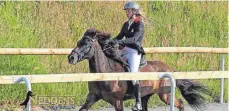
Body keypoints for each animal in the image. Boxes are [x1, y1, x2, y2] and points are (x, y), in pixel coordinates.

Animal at [67, 28, 209, 110]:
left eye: (87, 45)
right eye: (78, 43)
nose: (71, 57)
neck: (104, 73)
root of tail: (170, 69)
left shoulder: (117, 101)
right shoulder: (92, 97)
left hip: (165, 95)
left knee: (180, 103)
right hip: (146, 96)